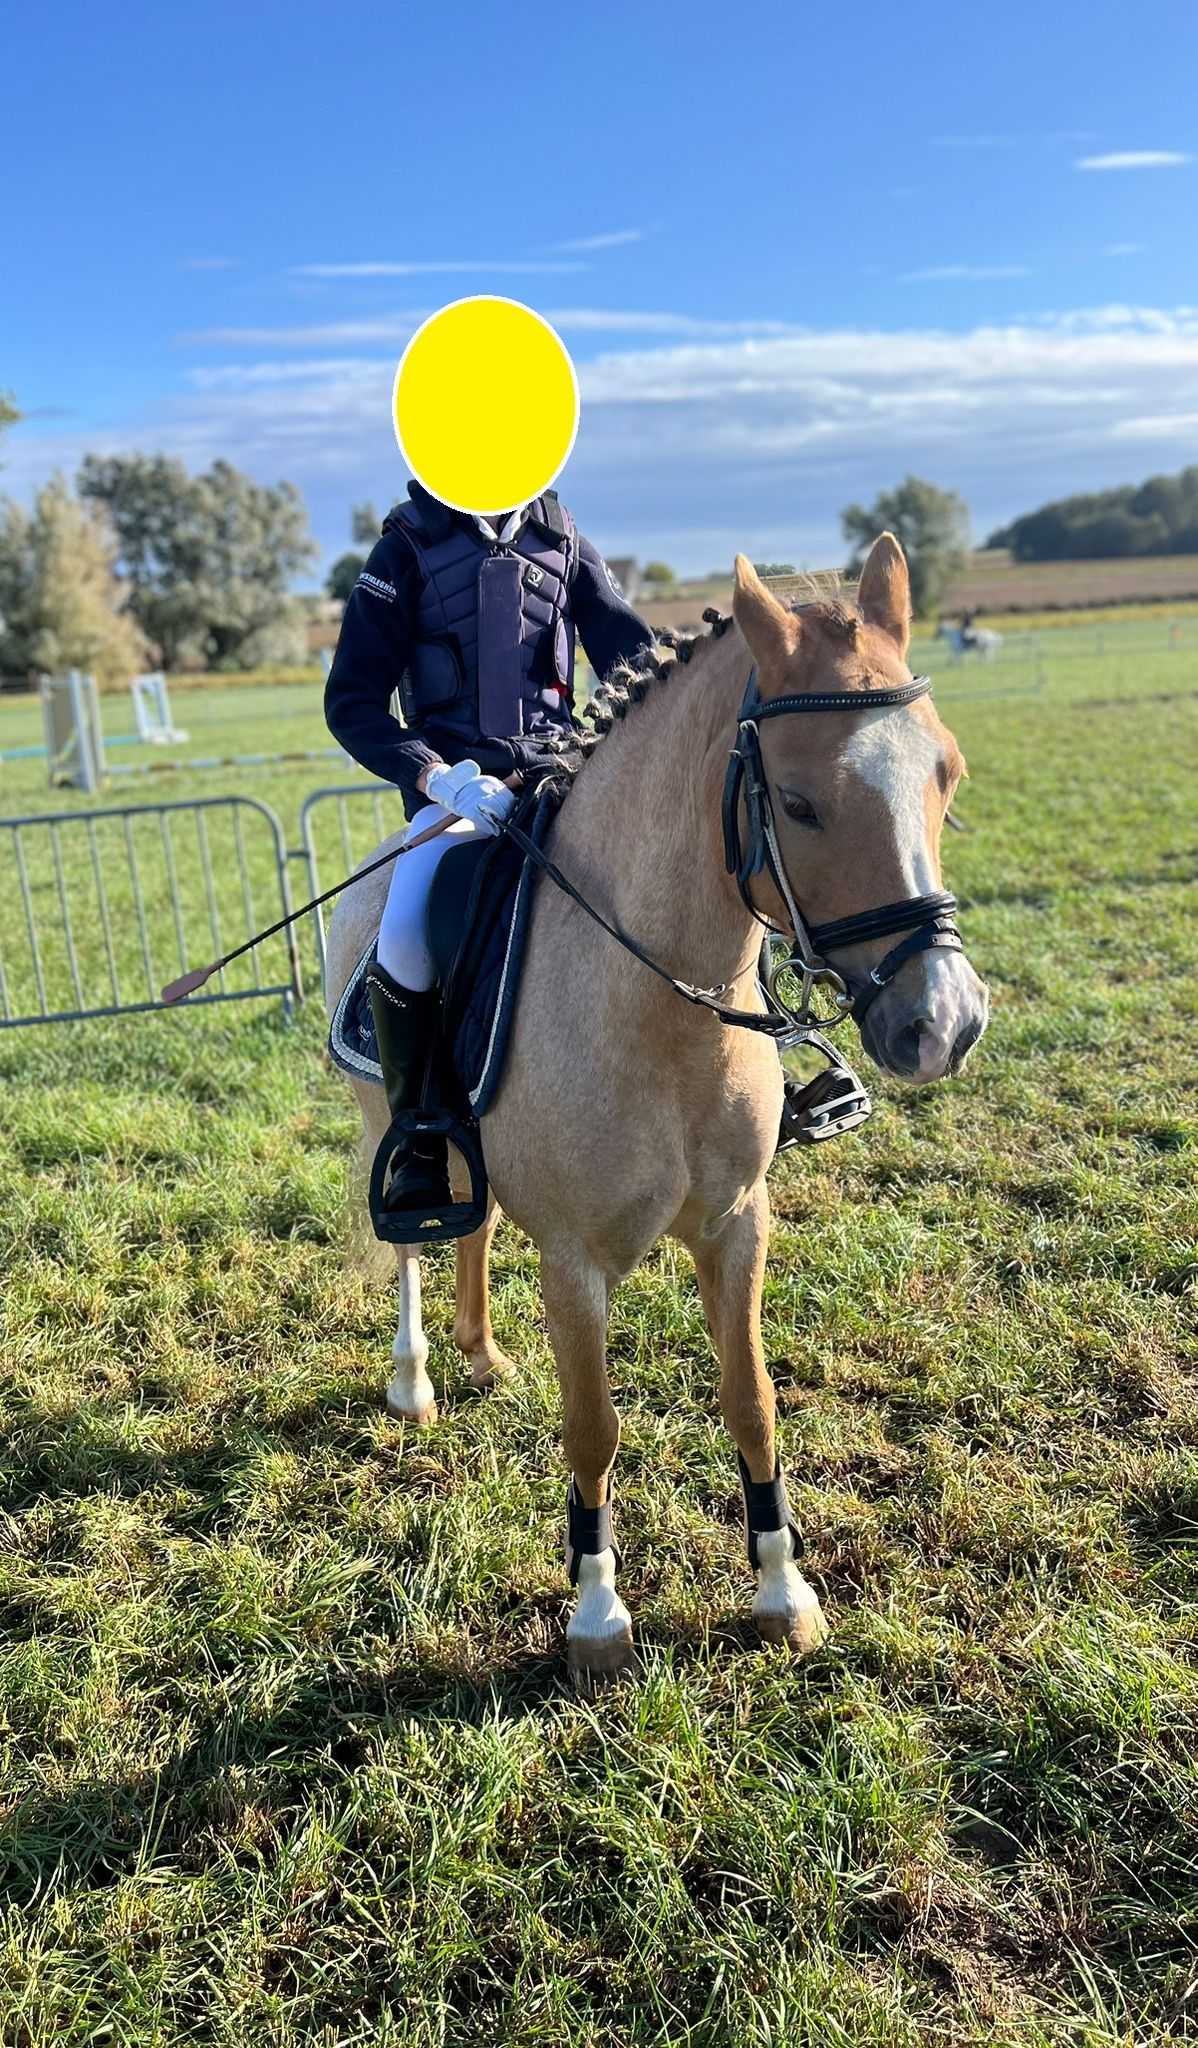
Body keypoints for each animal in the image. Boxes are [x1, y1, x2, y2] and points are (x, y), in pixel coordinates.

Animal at [325, 535, 990, 1682]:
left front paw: (783, 1596)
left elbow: (753, 1404)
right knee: (410, 1240)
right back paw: (416, 1382)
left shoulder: (736, 1224)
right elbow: (593, 1429)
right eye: (799, 802)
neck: (656, 996)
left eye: (944, 772)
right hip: (388, 1121)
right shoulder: (574, 1263)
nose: (942, 1022)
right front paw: (597, 1618)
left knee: (473, 1224)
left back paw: (482, 1354)